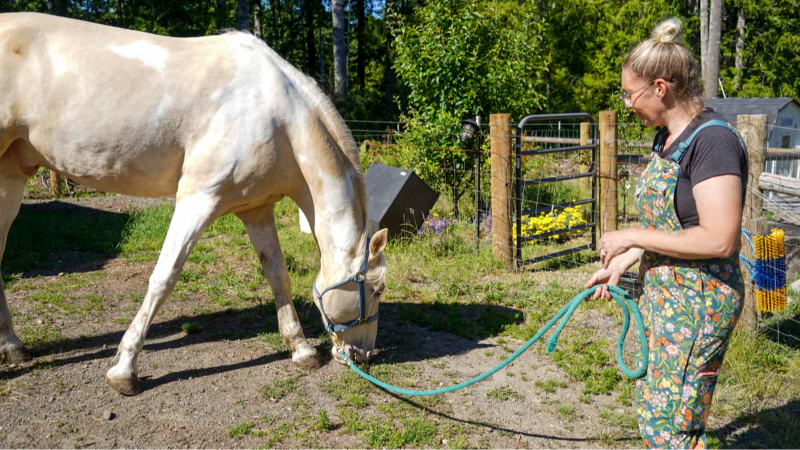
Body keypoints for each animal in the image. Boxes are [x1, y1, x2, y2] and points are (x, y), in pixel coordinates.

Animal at [0, 12, 388, 396]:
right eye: (378, 289)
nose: (364, 355)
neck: (278, 113)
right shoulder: (198, 200)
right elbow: (164, 277)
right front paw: (124, 370)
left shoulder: (256, 210)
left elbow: (278, 276)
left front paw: (301, 349)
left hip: (11, 177)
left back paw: (12, 346)